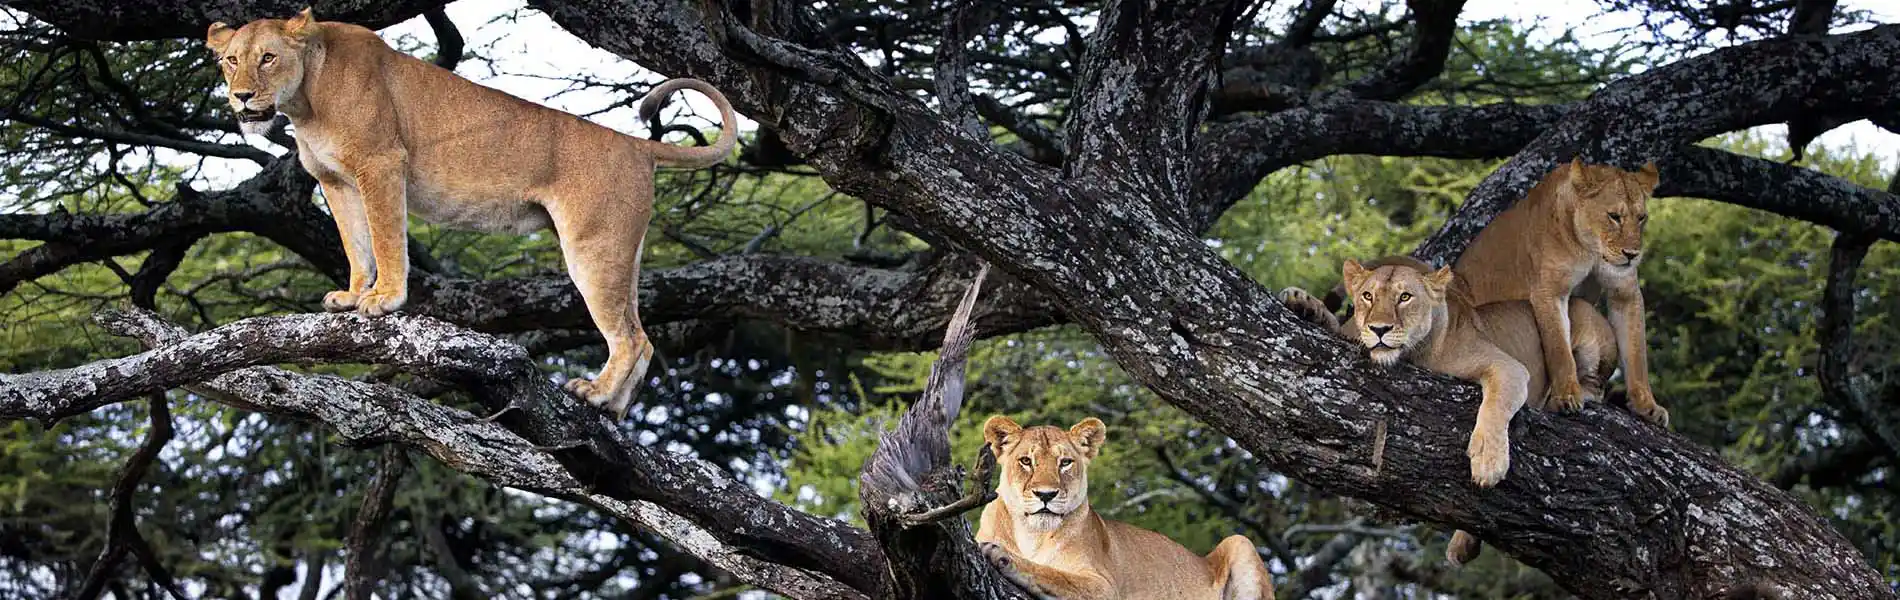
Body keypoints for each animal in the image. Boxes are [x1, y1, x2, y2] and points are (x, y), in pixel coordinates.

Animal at [208, 7, 733, 417]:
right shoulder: (336, 182)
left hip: (593, 246)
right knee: (642, 334)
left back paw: (596, 395)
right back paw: (616, 409)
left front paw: (384, 299)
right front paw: (353, 294)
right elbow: (356, 245)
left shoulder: (382, 162)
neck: (306, 99)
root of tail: (638, 145)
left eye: (268, 57)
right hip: (624, 250)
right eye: (232, 60)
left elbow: (385, 238)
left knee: (629, 337)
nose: (241, 96)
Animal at [980, 417, 1276, 600]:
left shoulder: (1104, 586)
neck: (1032, 534)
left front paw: (1003, 556)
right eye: (1025, 461)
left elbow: (1053, 574)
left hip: (1240, 542)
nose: (1046, 494)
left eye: (1065, 462)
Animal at [1276, 258, 1618, 565]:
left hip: (1584, 323)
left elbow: (1495, 405)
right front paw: (1303, 303)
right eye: (1367, 296)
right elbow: (1336, 327)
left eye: (1405, 297)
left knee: (1593, 382)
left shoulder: (1507, 367)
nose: (1379, 329)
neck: (1413, 356)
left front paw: (1488, 461)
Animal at [1451, 159, 1664, 427]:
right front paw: (1566, 397)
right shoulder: (1550, 290)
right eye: (1614, 216)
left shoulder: (1624, 291)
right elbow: (1559, 349)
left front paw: (1647, 406)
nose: (1632, 254)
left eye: (1641, 218)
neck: (1591, 248)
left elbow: (1637, 355)